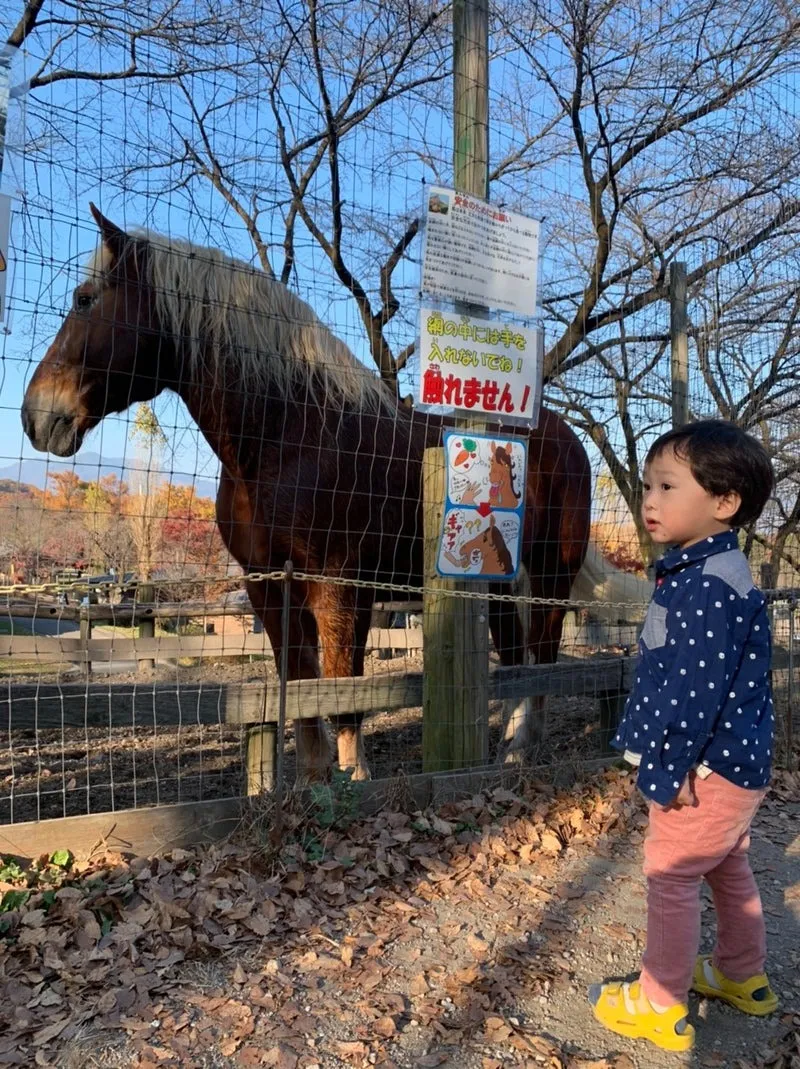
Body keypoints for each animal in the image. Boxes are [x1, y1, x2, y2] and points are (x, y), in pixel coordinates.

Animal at [21, 206, 590, 778]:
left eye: (85, 299)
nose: (35, 416)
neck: (291, 436)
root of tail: (566, 439)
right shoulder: (268, 585)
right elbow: (300, 687)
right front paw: (315, 779)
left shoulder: (339, 586)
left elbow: (341, 688)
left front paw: (354, 776)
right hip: (497, 581)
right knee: (516, 659)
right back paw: (508, 747)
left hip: (549, 575)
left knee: (543, 655)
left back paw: (522, 745)